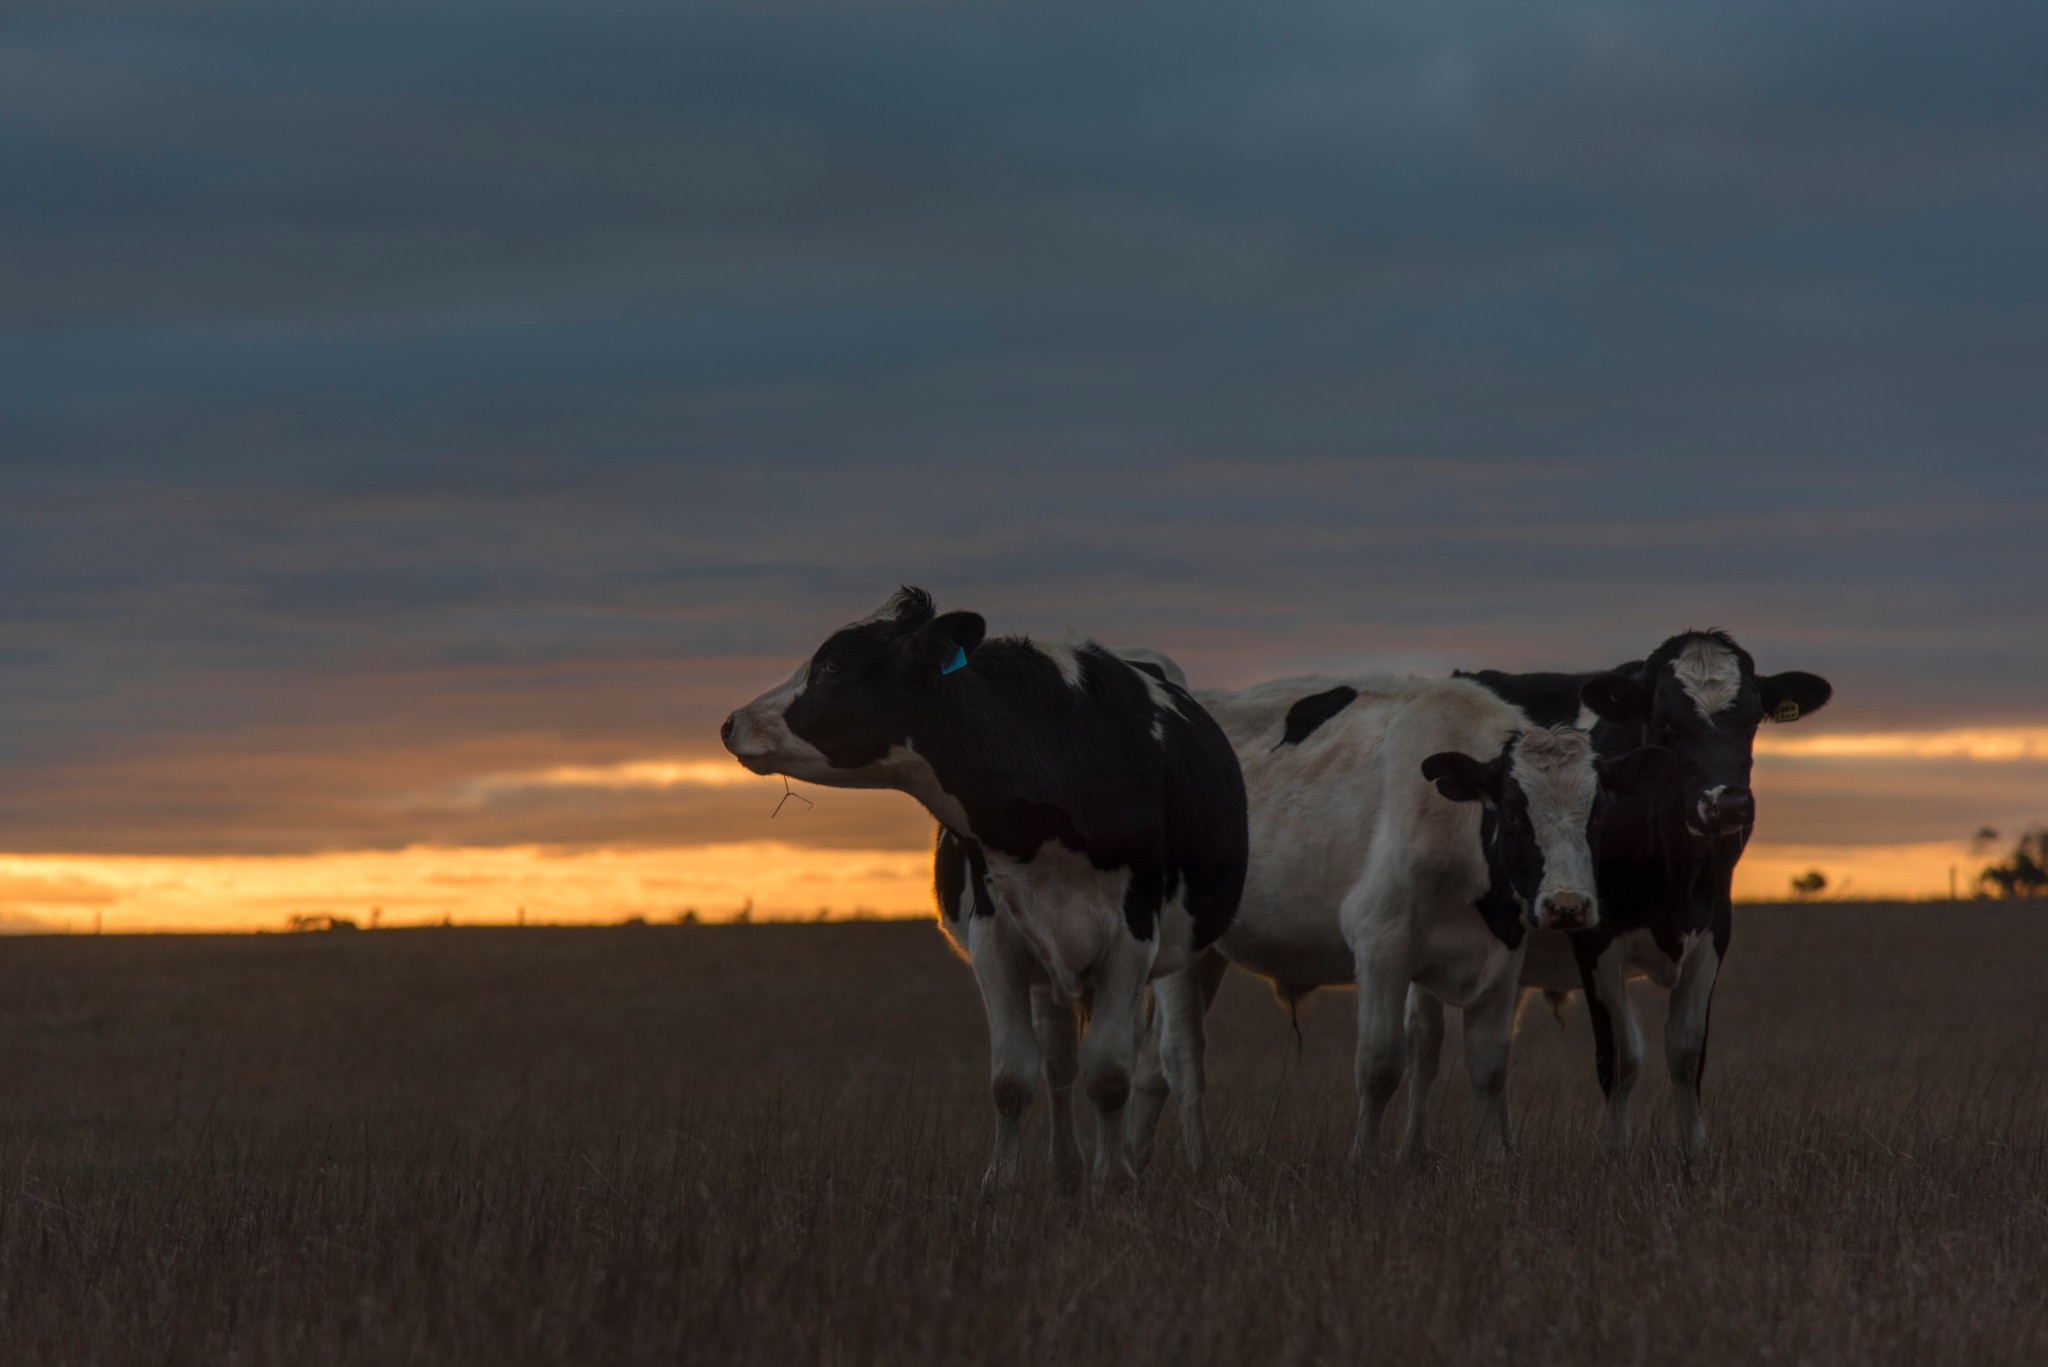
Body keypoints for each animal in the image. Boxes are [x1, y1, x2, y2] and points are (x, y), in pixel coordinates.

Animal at [720, 594, 1245, 1188]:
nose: (732, 723)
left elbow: (1110, 1073)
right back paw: (1066, 1168)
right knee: (1059, 1060)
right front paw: (1002, 1185)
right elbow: (1013, 1077)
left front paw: (1114, 1181)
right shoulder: (997, 934)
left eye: (831, 664)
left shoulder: (1132, 937)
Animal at [1130, 672, 1671, 1164]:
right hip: (1183, 955)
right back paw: (1199, 1160)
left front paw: (1494, 1163)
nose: (1567, 905)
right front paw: (1363, 1164)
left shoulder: (1504, 956)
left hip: (1209, 953)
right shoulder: (1381, 945)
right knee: (1181, 1055)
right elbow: (1381, 1064)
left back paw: (1134, 1163)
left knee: (1151, 1064)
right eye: (1516, 813)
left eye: (1597, 813)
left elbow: (1489, 1066)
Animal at [1441, 627, 1843, 1155]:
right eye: (1665, 720)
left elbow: (1688, 1049)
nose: (1728, 804)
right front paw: (1616, 1153)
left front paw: (1694, 1151)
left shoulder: (1714, 930)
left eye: (1753, 719)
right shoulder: (1593, 934)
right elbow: (1620, 1057)